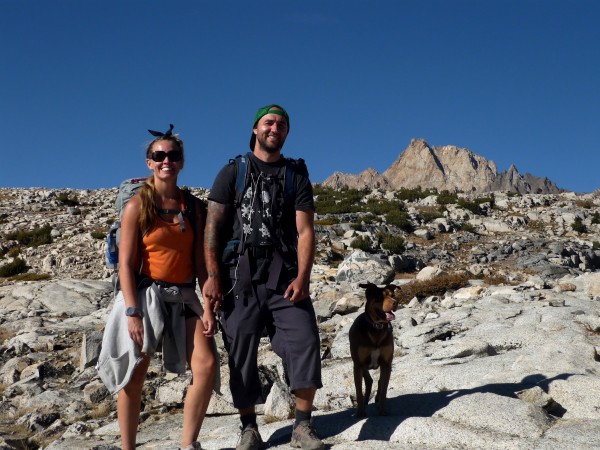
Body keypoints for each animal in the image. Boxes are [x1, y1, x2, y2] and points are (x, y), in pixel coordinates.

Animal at [346, 284, 398, 416]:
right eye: (379, 297)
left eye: (393, 295)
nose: (395, 303)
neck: (376, 327)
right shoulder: (358, 365)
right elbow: (358, 391)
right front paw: (360, 412)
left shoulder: (386, 363)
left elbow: (384, 388)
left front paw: (382, 409)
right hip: (362, 366)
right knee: (368, 381)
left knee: (378, 381)